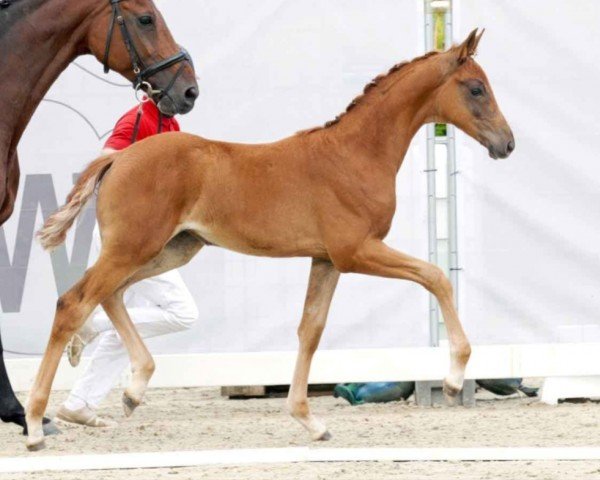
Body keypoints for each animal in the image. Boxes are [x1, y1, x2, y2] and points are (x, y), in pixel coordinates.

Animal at [29, 29, 510, 450]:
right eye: (475, 89)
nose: (507, 144)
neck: (354, 154)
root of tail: (117, 158)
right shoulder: (356, 251)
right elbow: (436, 277)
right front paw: (453, 380)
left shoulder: (326, 260)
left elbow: (310, 331)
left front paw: (309, 422)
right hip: (134, 248)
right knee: (74, 302)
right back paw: (36, 424)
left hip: (170, 250)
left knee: (108, 296)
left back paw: (132, 388)